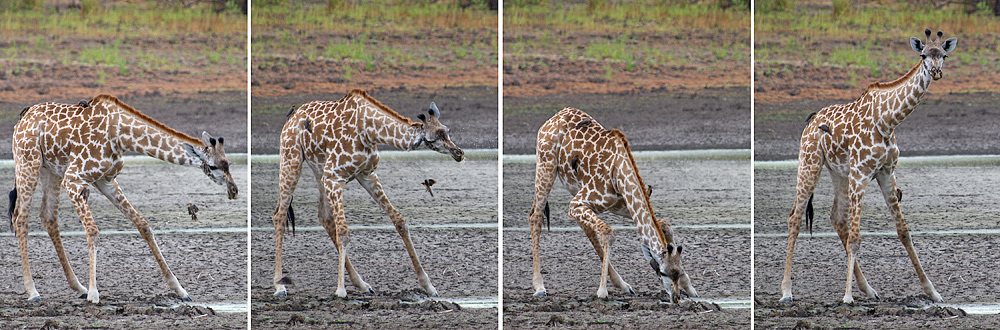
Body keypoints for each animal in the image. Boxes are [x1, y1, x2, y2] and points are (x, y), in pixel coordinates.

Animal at [9, 94, 238, 302]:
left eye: (228, 162)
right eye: (213, 166)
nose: (233, 190)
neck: (121, 136)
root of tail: (22, 118)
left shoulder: (106, 181)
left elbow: (144, 226)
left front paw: (180, 290)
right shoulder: (73, 179)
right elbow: (93, 232)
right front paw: (94, 293)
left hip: (50, 170)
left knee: (48, 218)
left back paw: (78, 287)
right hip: (28, 163)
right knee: (20, 219)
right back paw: (33, 292)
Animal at [270, 89, 464, 298]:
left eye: (447, 131)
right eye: (432, 139)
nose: (458, 153)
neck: (369, 131)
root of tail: (291, 118)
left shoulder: (366, 175)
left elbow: (400, 221)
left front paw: (428, 286)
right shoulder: (335, 177)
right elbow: (344, 232)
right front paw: (340, 290)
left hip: (319, 171)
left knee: (324, 217)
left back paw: (362, 283)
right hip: (292, 160)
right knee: (280, 215)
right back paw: (280, 286)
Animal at [528, 106, 700, 302]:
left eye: (678, 272)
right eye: (663, 273)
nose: (676, 298)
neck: (619, 172)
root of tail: (556, 116)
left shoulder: (621, 205)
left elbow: (664, 224)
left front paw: (690, 288)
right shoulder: (577, 203)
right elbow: (609, 233)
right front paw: (602, 291)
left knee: (585, 227)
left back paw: (624, 285)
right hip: (546, 165)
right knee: (535, 217)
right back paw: (540, 286)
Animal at [776, 29, 956, 302]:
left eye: (943, 55)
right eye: (923, 55)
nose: (936, 72)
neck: (888, 120)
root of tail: (812, 119)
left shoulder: (886, 173)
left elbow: (903, 232)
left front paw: (933, 292)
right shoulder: (861, 173)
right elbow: (856, 238)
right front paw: (847, 297)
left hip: (838, 173)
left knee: (837, 219)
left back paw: (868, 288)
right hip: (810, 163)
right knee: (795, 217)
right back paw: (787, 290)